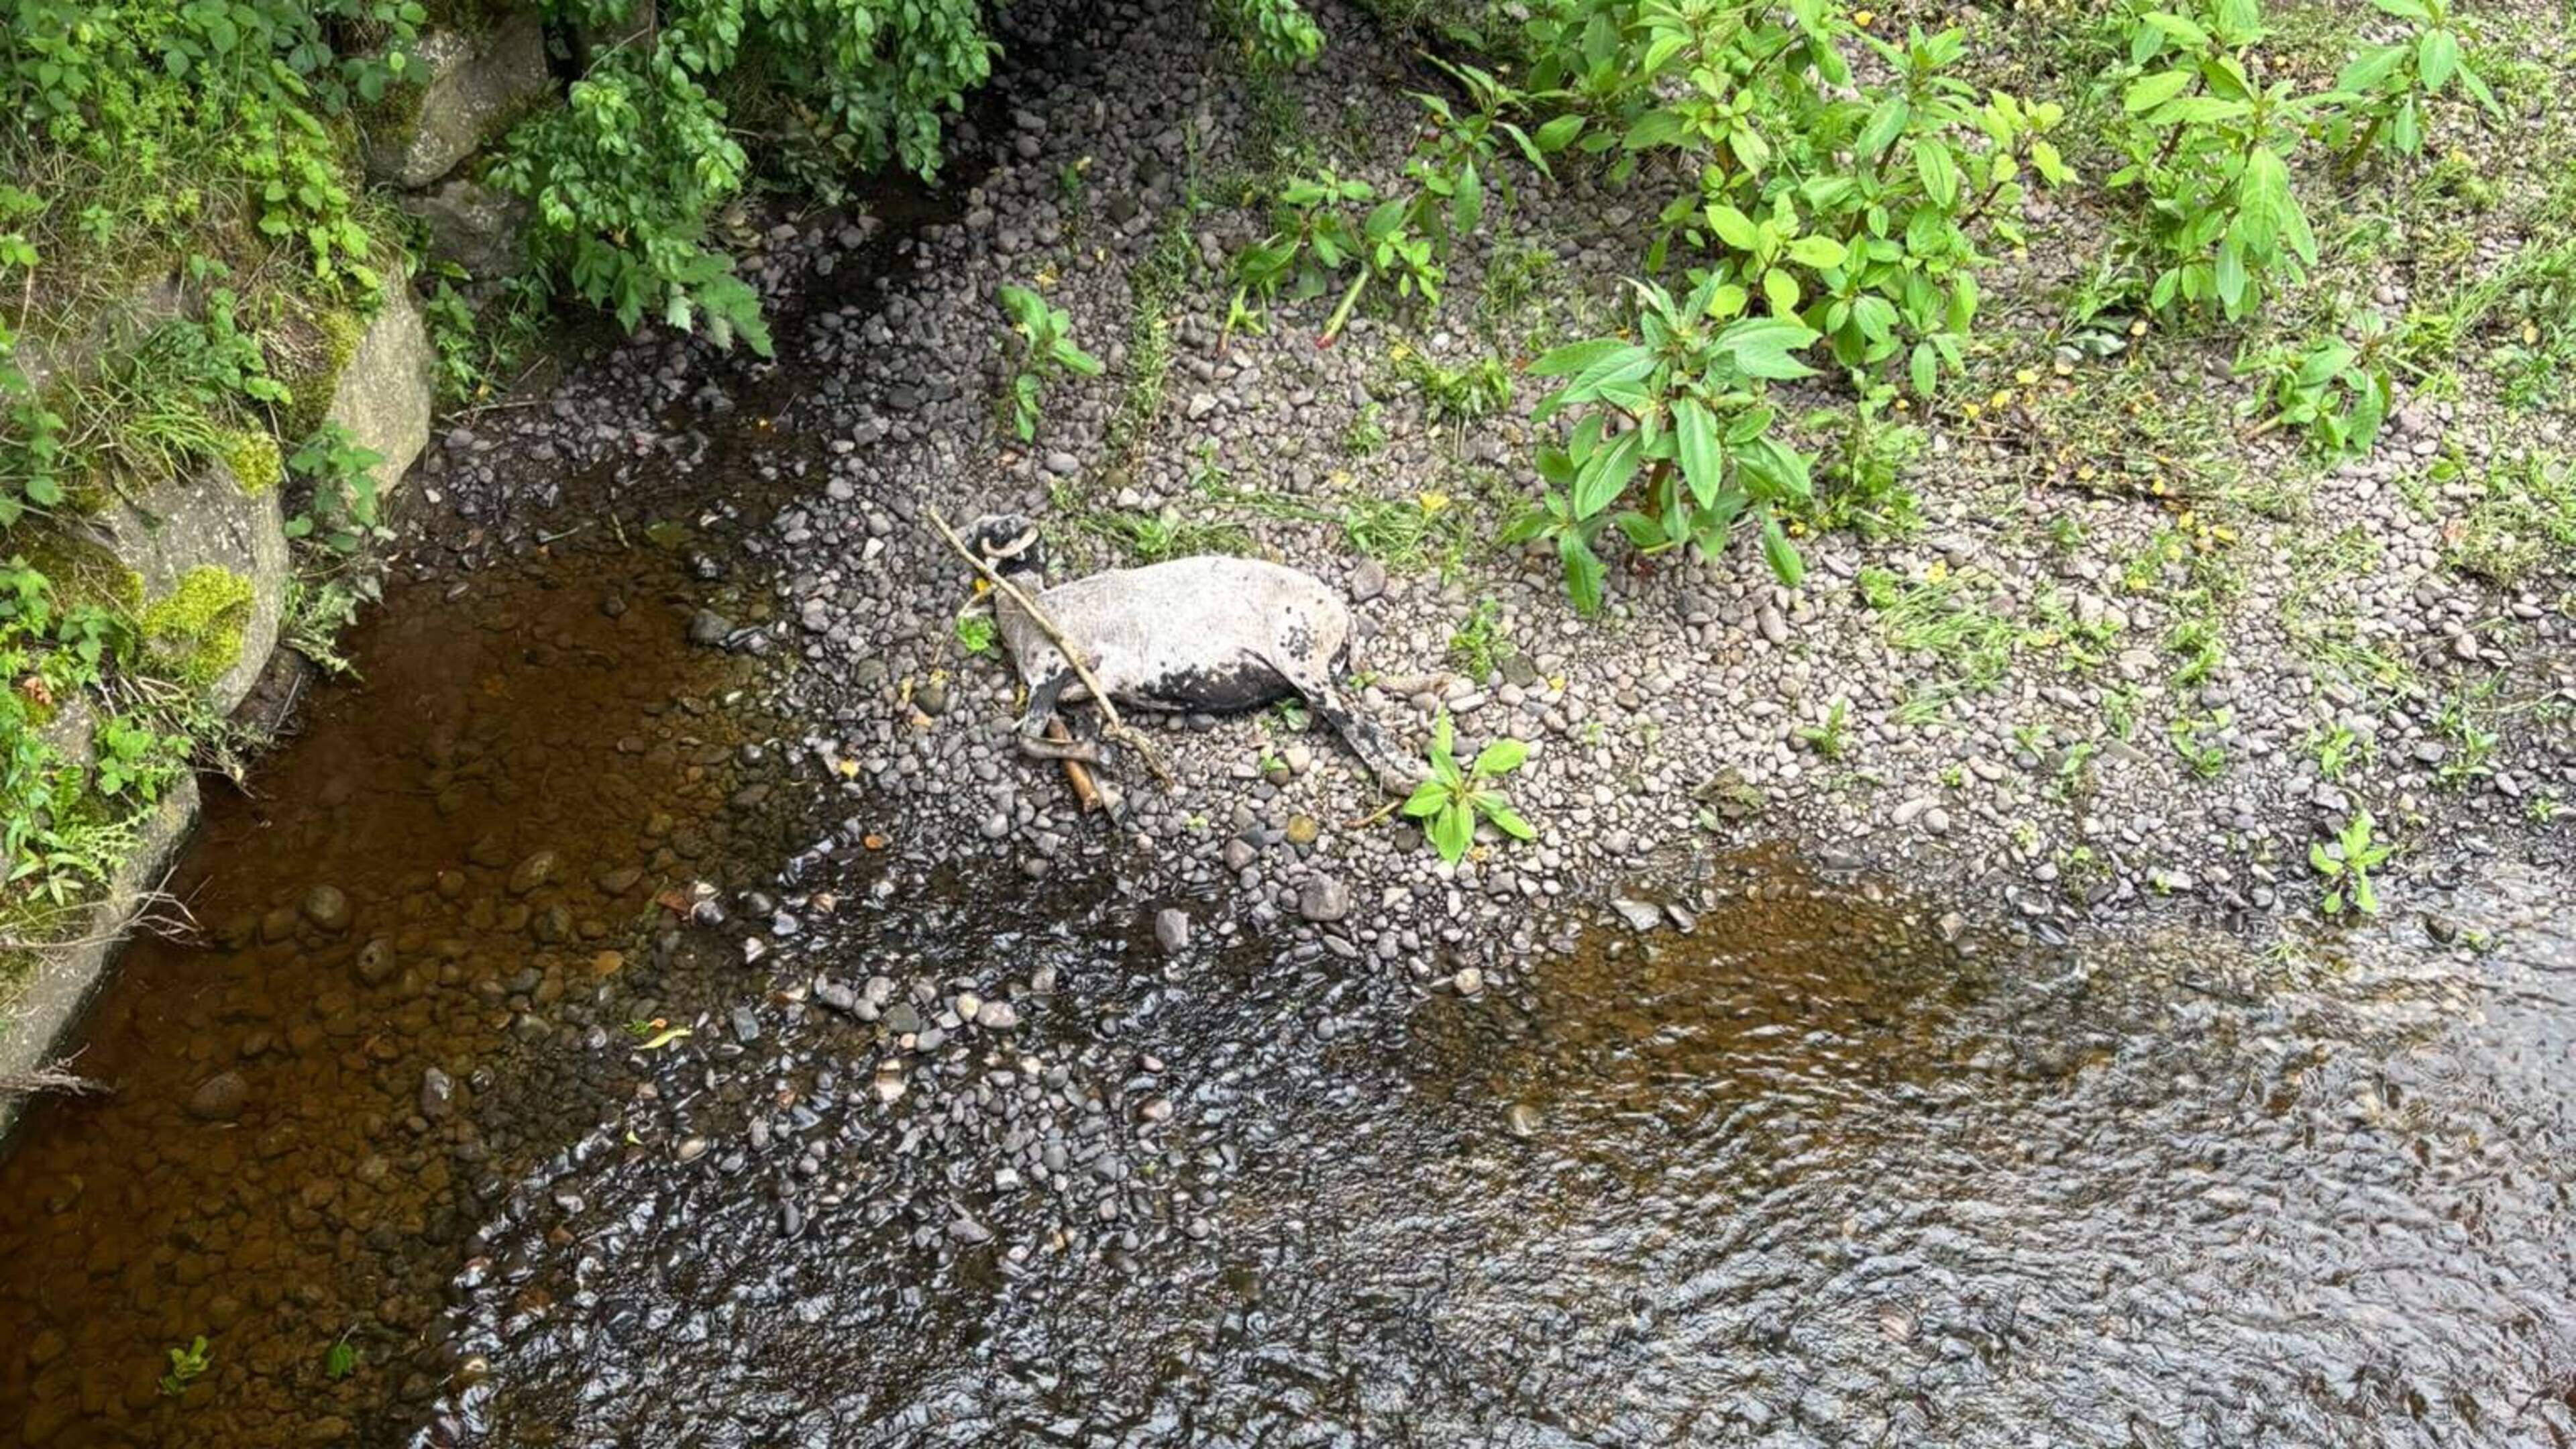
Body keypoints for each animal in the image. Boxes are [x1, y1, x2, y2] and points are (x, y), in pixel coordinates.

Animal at [960, 513, 1421, 793]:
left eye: (997, 528)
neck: (1025, 611)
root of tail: (1342, 616)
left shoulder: (1054, 674)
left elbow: (1027, 741)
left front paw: (1107, 755)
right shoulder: (1090, 696)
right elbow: (1084, 734)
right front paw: (1103, 759)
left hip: (1301, 658)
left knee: (1363, 729)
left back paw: (1408, 780)